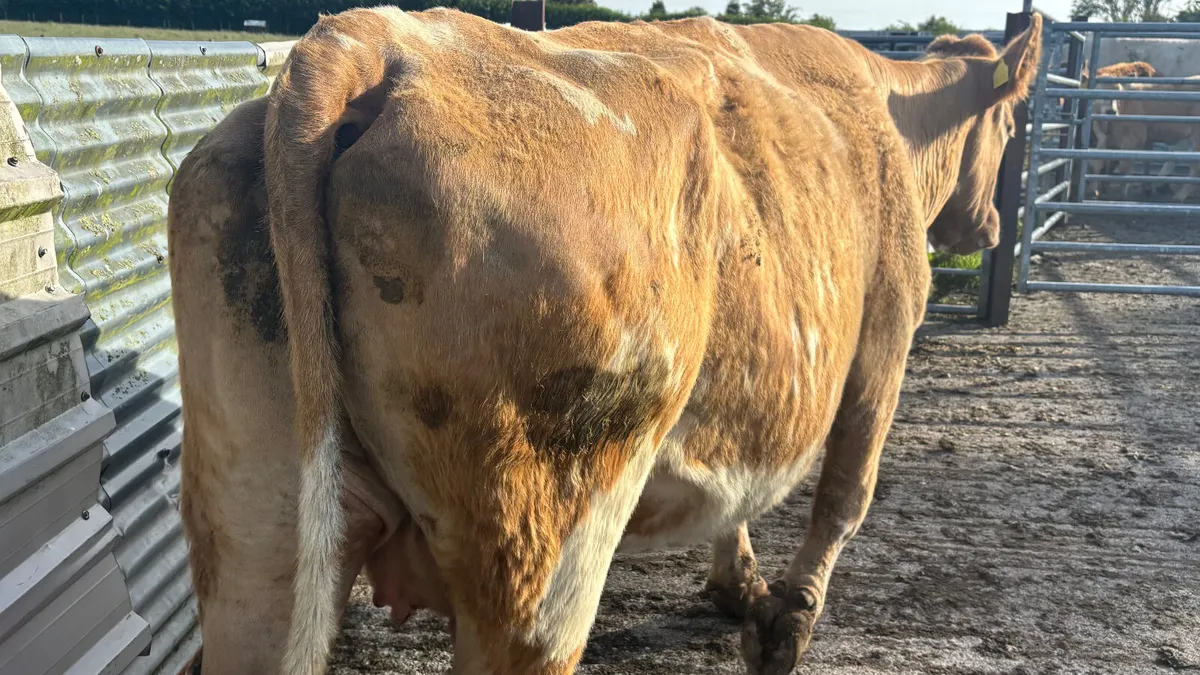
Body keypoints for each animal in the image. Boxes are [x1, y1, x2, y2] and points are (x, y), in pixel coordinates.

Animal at [171, 8, 1041, 675]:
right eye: (1008, 122)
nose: (992, 225)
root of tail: (376, 38)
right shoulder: (888, 333)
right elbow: (845, 494)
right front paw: (783, 626)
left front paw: (737, 584)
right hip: (543, 551)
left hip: (257, 530)